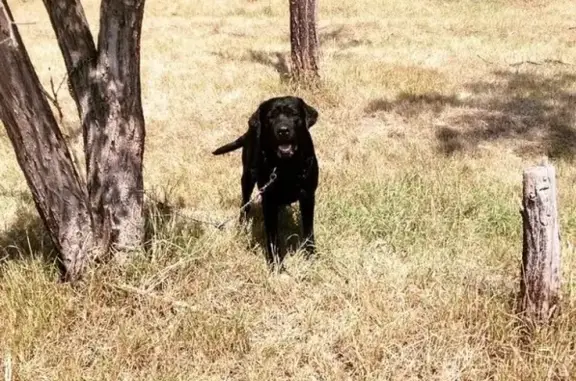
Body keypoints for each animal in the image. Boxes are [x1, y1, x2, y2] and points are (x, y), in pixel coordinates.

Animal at [213, 95, 320, 268]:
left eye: (293, 114)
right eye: (271, 117)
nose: (283, 130)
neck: (286, 166)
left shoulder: (308, 196)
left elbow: (309, 230)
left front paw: (311, 256)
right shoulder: (268, 200)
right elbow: (272, 235)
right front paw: (275, 264)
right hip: (247, 178)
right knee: (244, 205)